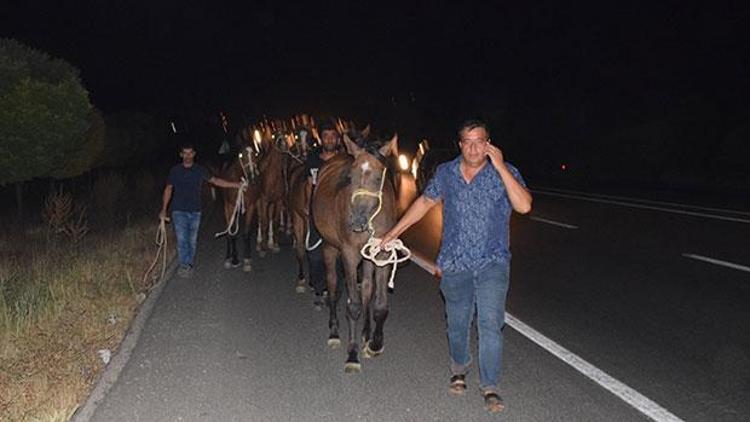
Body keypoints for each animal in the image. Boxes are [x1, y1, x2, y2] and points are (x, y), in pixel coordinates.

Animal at [312, 129, 400, 372]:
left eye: (379, 177)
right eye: (350, 177)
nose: (358, 222)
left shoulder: (381, 253)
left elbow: (379, 304)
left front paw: (375, 343)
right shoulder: (349, 254)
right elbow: (353, 305)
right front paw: (352, 354)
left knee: (367, 289)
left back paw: (366, 333)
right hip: (330, 248)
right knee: (333, 287)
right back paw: (334, 331)